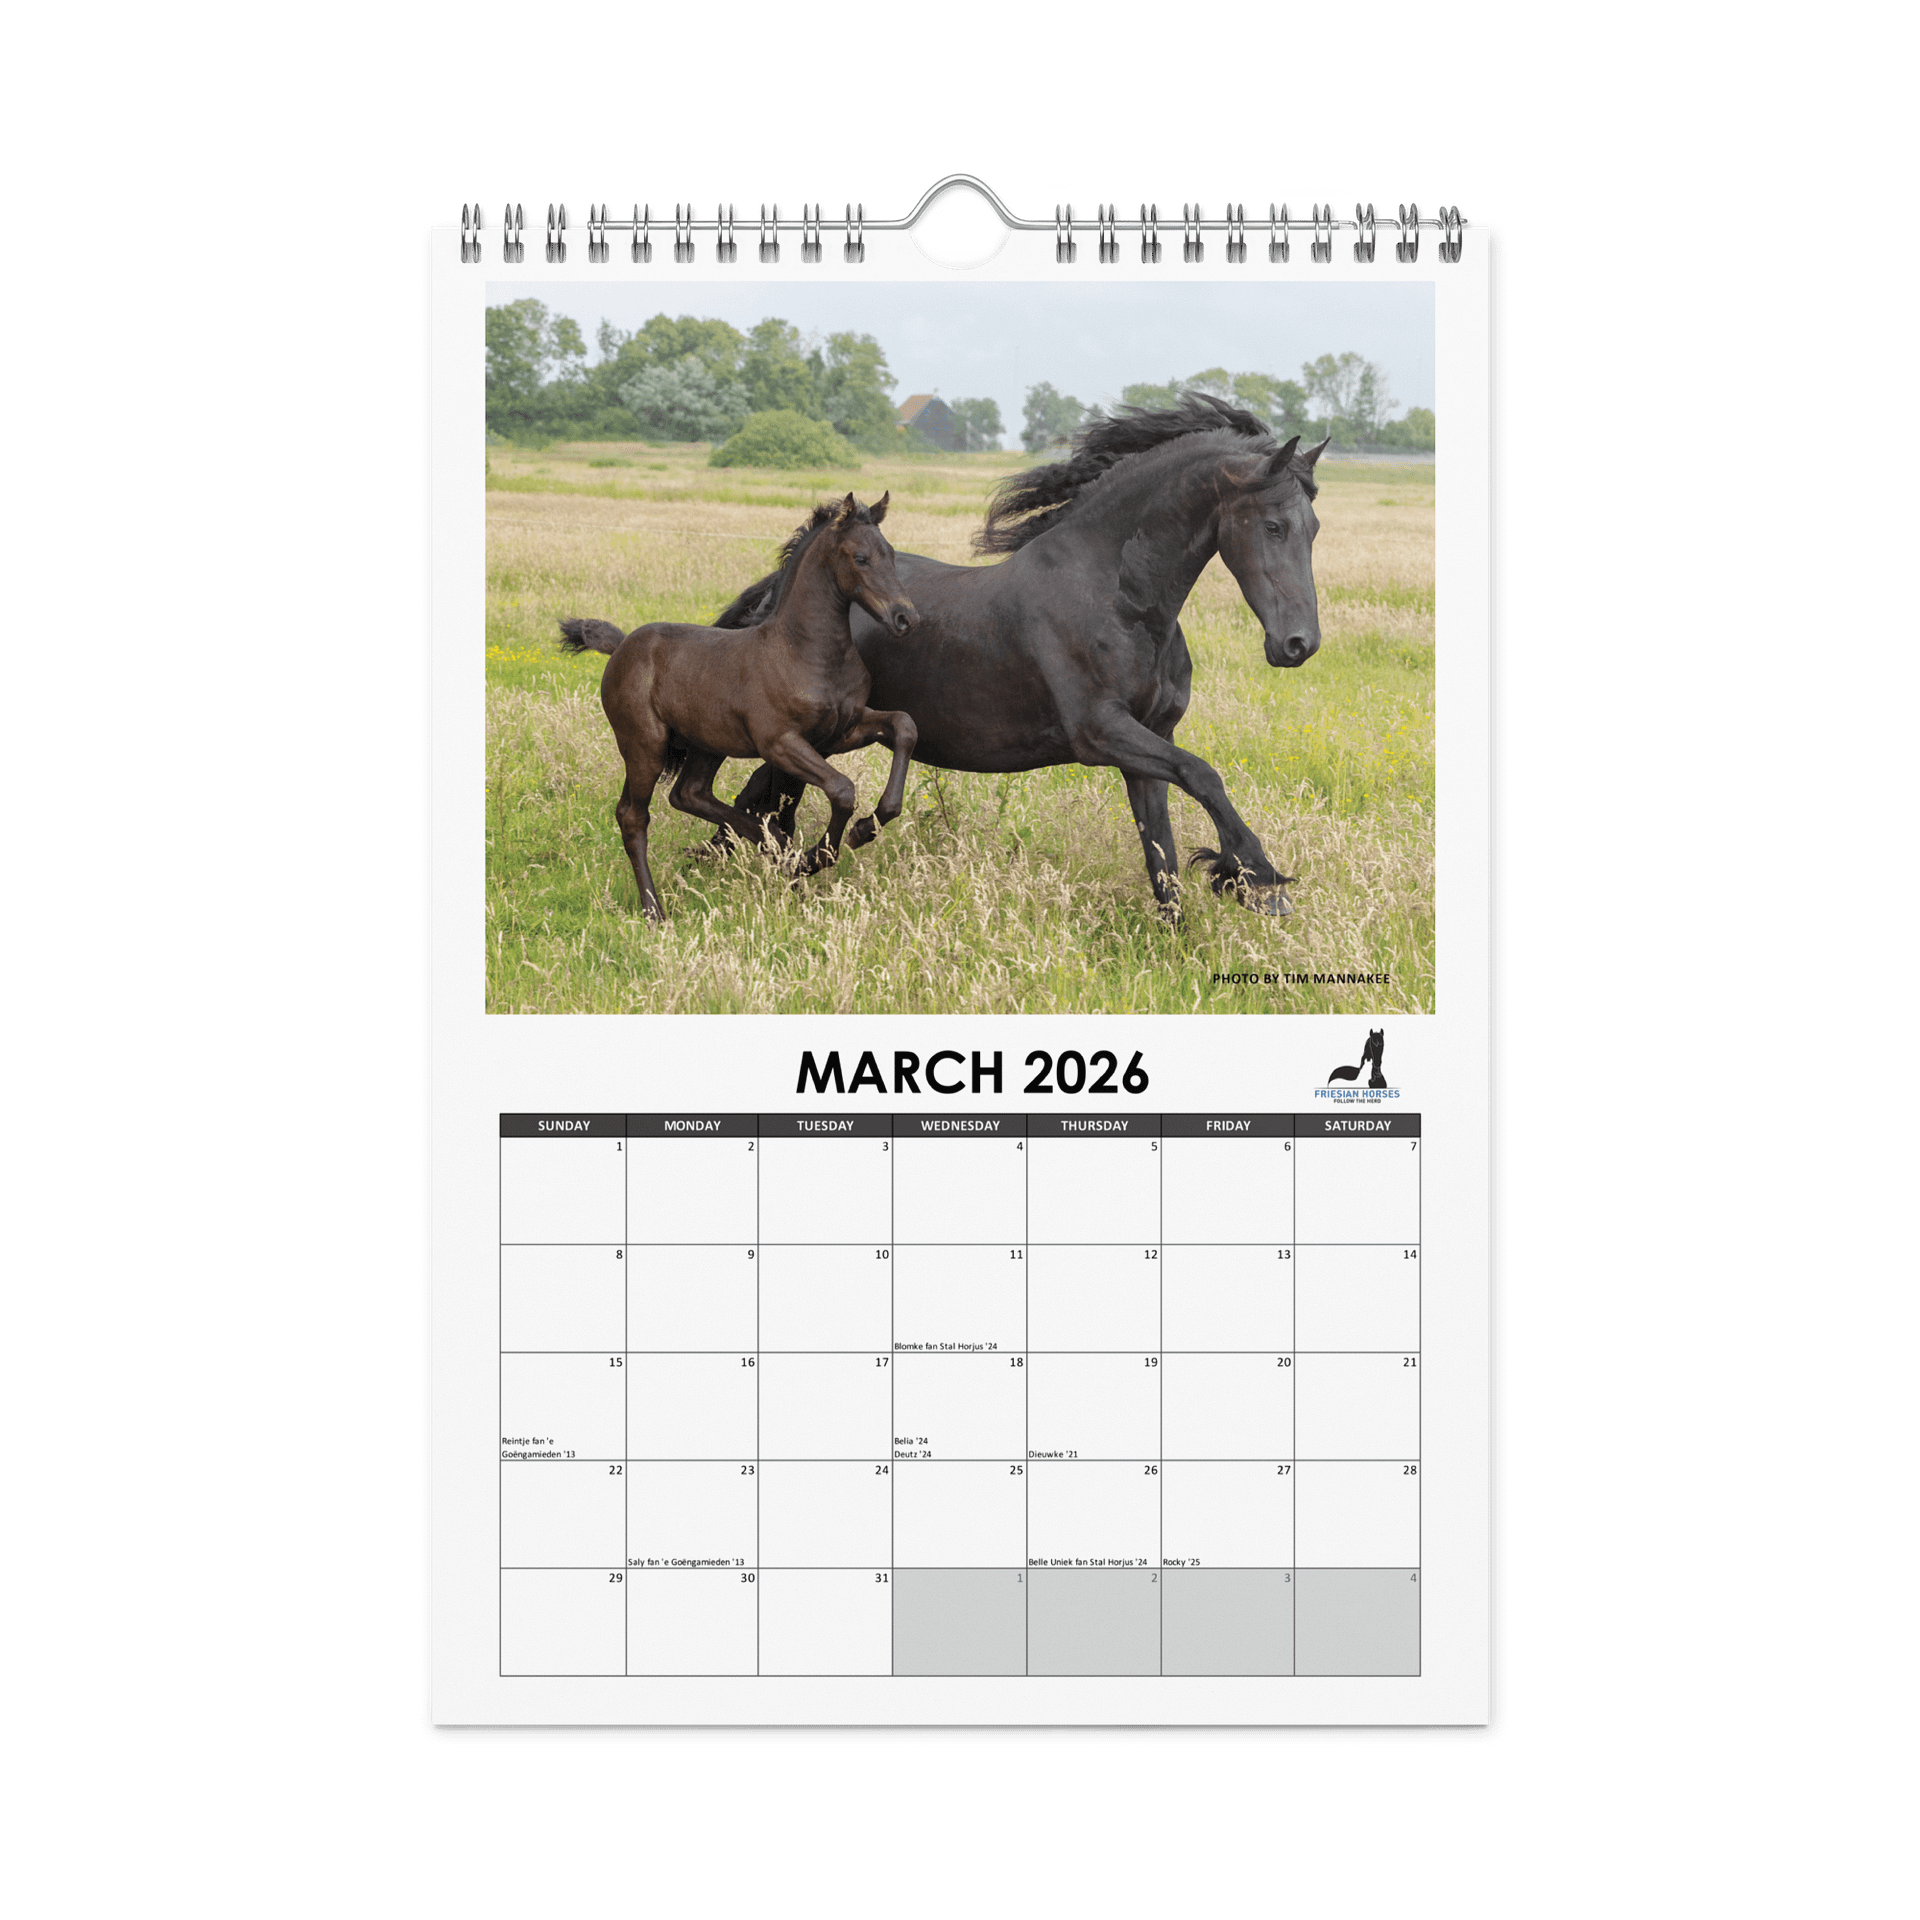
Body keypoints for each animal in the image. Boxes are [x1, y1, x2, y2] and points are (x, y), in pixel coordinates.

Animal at [558, 492, 919, 922]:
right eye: (860, 558)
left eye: (891, 554)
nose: (906, 617)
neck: (807, 651)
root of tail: (621, 645)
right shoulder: (779, 742)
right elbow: (842, 789)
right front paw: (817, 856)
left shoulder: (840, 732)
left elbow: (904, 726)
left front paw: (863, 829)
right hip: (644, 744)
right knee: (634, 815)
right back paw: (655, 910)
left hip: (705, 745)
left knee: (689, 794)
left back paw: (773, 845)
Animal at [704, 395, 1328, 920]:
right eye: (1274, 525)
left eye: (1314, 528)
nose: (1298, 645)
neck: (1116, 600)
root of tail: (777, 592)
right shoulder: (1100, 732)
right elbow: (1204, 776)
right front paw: (1256, 877)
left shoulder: (1150, 741)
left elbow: (1164, 859)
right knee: (763, 796)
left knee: (766, 798)